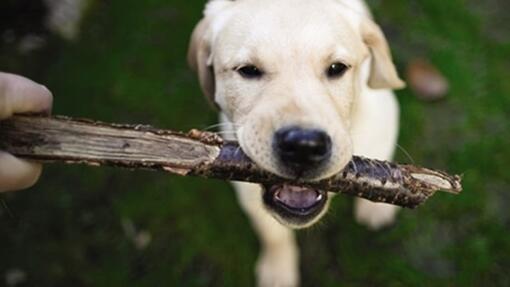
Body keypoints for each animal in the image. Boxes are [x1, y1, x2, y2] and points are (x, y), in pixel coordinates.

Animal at [189, 0, 404, 286]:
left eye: (337, 68)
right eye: (248, 70)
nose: (304, 147)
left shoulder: (384, 118)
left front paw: (376, 209)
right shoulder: (246, 190)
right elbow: (273, 234)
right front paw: (278, 270)